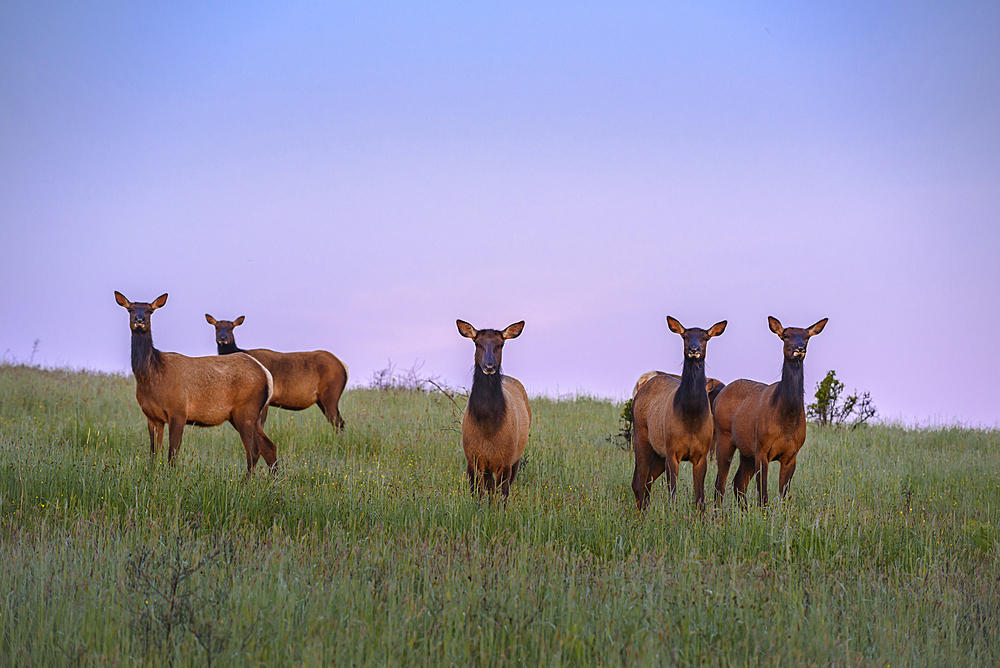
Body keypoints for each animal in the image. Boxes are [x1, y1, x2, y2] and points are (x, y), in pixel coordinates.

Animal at [115, 292, 280, 474]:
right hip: (245, 415)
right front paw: (152, 474)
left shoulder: (179, 411)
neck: (152, 377)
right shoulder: (152, 417)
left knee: (253, 451)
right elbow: (153, 454)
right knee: (269, 447)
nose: (140, 319)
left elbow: (172, 455)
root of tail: (266, 374)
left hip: (247, 409)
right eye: (130, 309)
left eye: (150, 310)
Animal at [205, 314, 350, 430]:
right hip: (322, 399)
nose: (223, 337)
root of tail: (343, 366)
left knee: (340, 423)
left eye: (231, 327)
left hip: (331, 393)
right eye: (217, 327)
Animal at [456, 320, 532, 500]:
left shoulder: (506, 461)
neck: (488, 428)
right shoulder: (472, 460)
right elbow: (477, 496)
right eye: (477, 343)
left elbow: (502, 497)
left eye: (501, 344)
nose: (489, 366)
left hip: (517, 456)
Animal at [632, 316, 728, 508]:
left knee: (646, 482)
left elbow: (700, 499)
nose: (694, 349)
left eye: (706, 337)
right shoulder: (672, 451)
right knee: (639, 483)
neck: (691, 419)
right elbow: (672, 497)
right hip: (642, 436)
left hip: (658, 453)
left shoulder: (701, 454)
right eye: (684, 336)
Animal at [716, 316, 832, 504]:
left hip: (747, 451)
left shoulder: (791, 454)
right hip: (724, 435)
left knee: (738, 483)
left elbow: (783, 496)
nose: (799, 348)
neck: (786, 420)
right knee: (720, 483)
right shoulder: (762, 449)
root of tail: (718, 397)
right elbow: (763, 496)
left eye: (807, 336)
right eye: (785, 335)